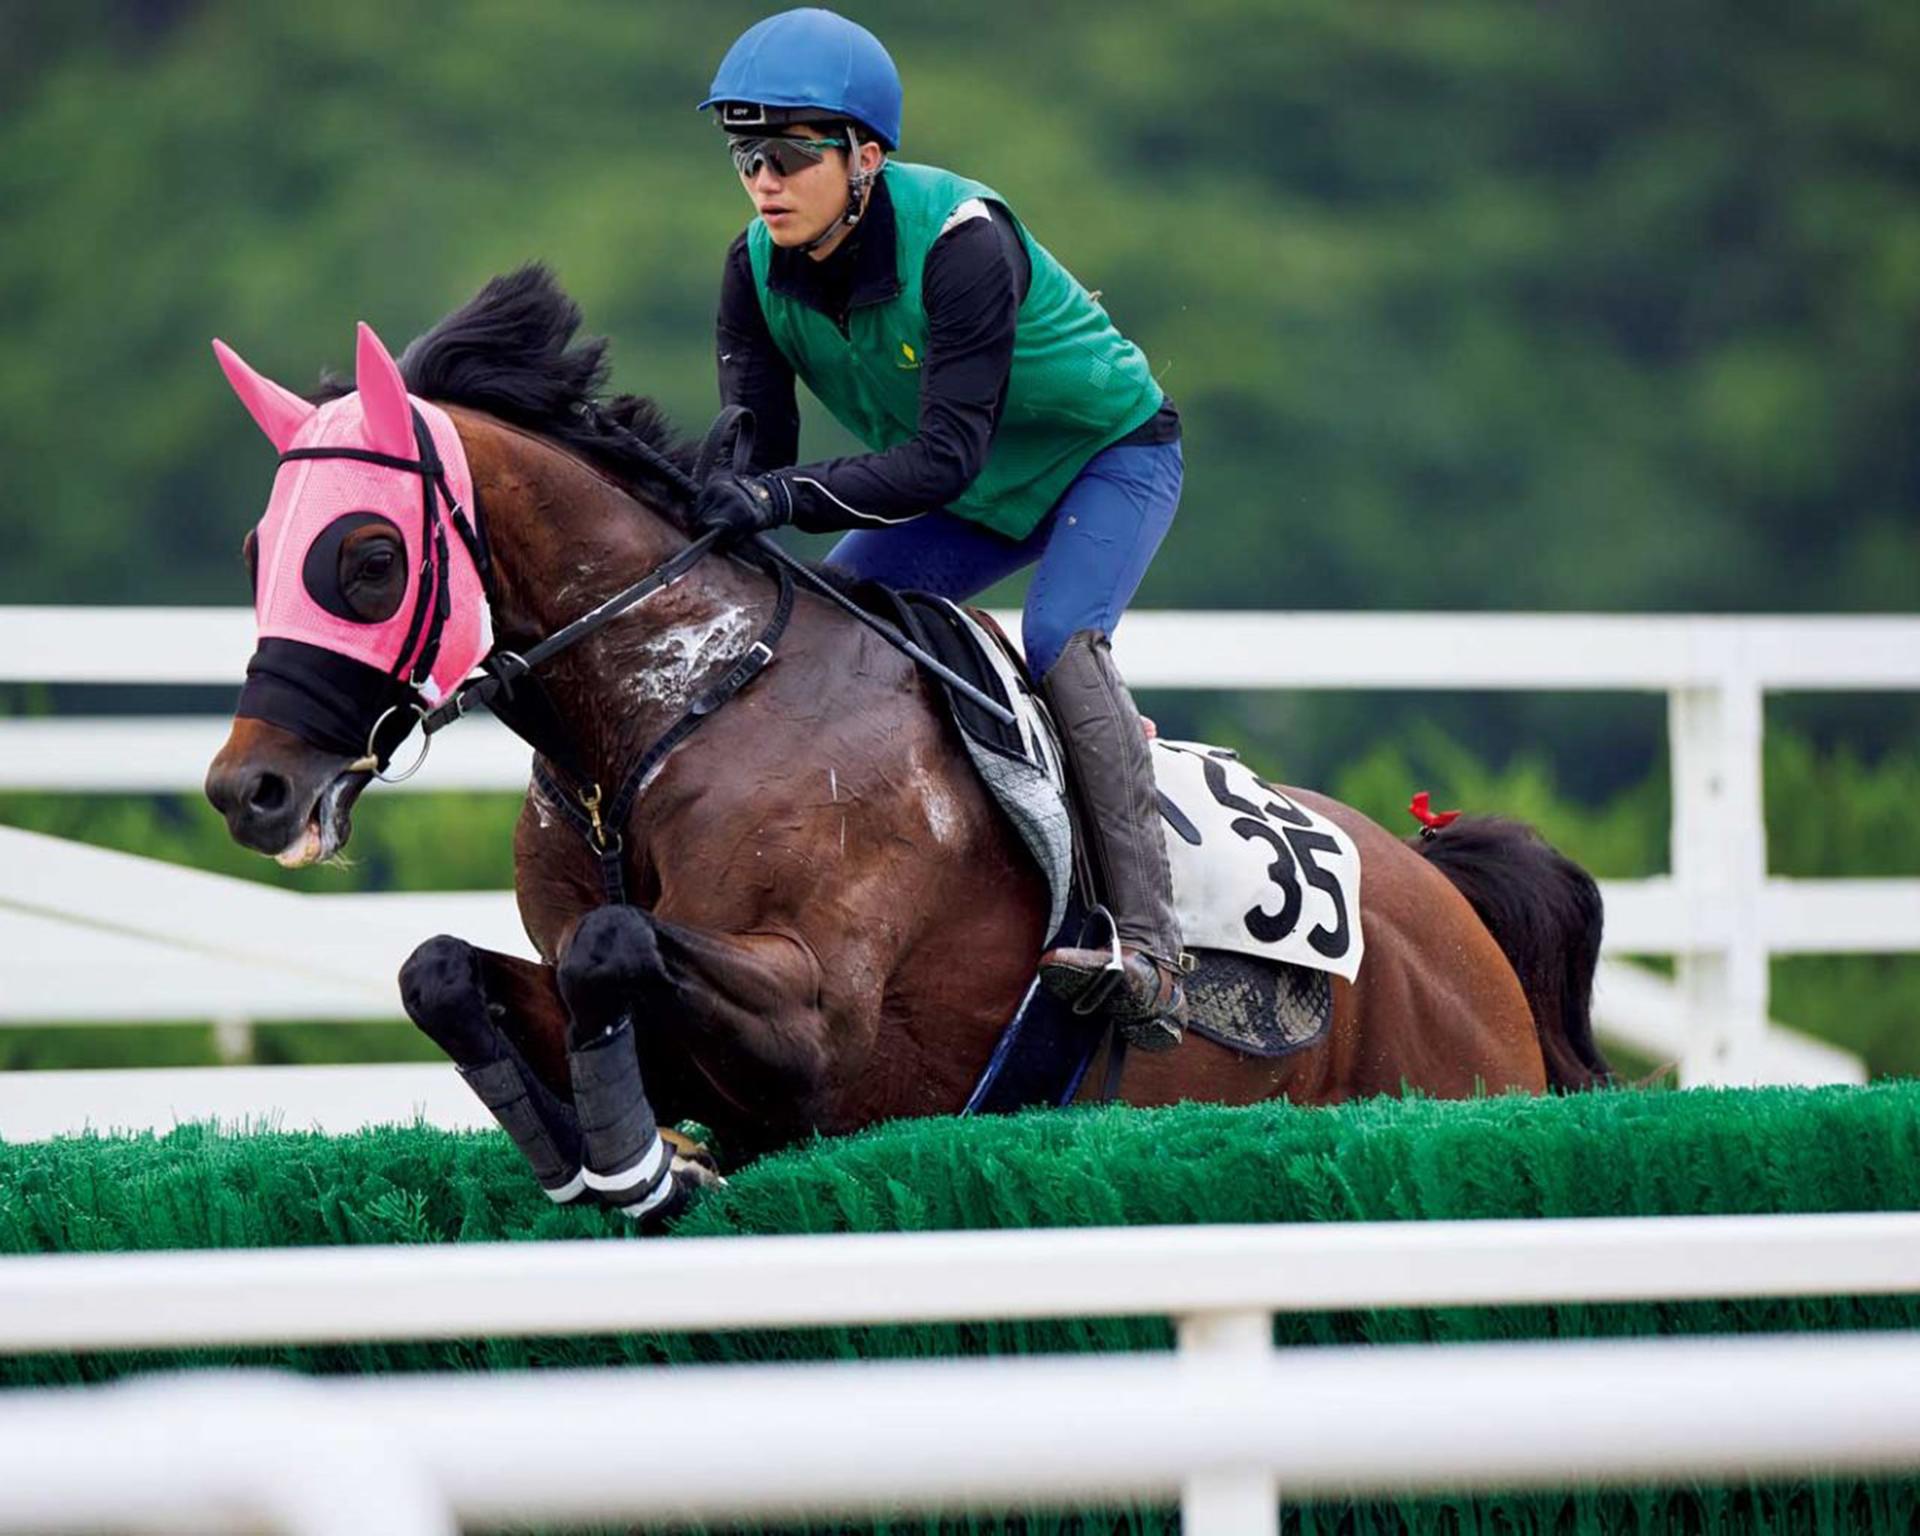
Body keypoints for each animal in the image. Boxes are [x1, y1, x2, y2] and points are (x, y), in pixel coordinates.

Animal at [202, 266, 1612, 1221]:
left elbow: (616, 944)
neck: (670, 715)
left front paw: (649, 1168)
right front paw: (610, 1160)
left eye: (367, 559)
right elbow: (443, 970)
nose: (250, 790)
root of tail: (1446, 896)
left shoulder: (819, 1014)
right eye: (258, 550)